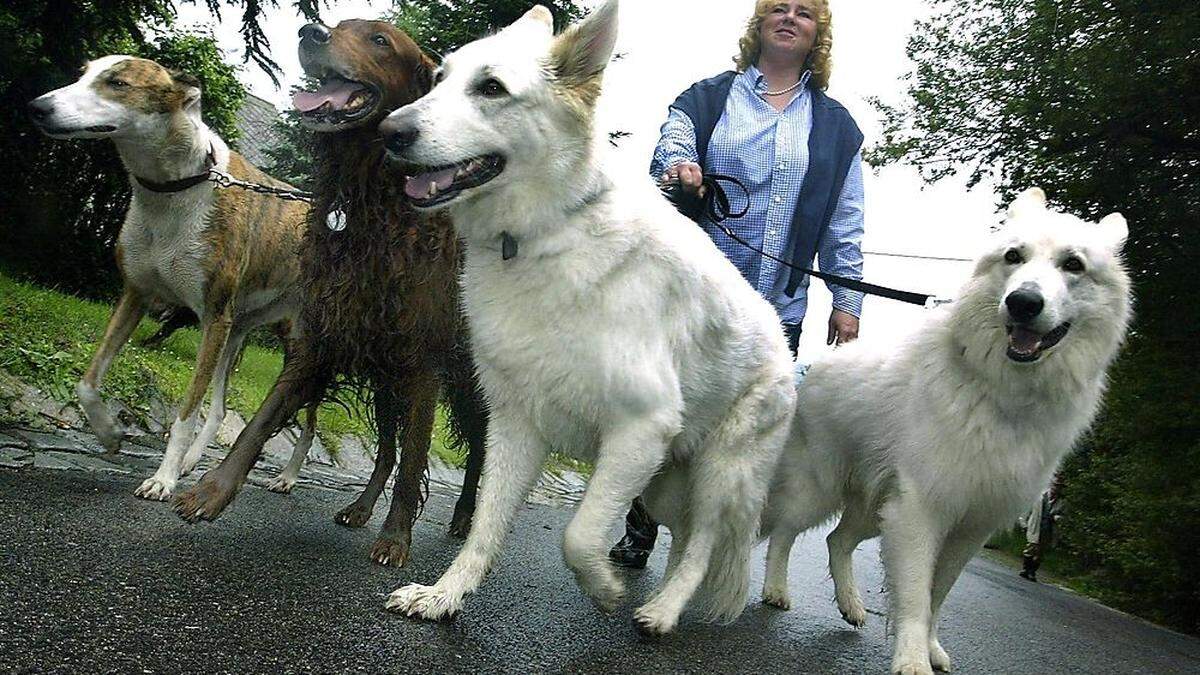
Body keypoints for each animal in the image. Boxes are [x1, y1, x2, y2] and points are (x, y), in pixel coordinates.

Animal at [170, 21, 487, 564]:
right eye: (341, 26)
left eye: (380, 40)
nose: (310, 30)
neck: (374, 202)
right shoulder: (324, 337)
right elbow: (260, 422)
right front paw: (211, 492)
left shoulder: (423, 361)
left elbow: (416, 457)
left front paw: (396, 538)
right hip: (385, 380)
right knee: (386, 451)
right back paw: (360, 508)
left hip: (467, 380)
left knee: (478, 451)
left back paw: (465, 516)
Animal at [374, 0, 796, 634]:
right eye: (439, 80)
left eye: (491, 89)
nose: (389, 133)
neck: (544, 232)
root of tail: (787, 347)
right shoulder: (515, 424)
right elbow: (484, 527)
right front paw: (446, 596)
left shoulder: (639, 430)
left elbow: (578, 534)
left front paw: (602, 588)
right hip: (666, 485)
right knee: (682, 538)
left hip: (718, 473)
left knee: (702, 545)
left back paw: (663, 611)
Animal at [758, 186, 1132, 667]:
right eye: (1014, 256)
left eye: (1074, 265)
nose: (1023, 302)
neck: (1001, 391)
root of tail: (811, 365)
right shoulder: (921, 512)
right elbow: (916, 596)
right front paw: (913, 661)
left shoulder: (968, 527)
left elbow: (937, 594)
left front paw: (931, 649)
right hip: (820, 490)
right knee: (784, 531)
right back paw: (775, 589)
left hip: (876, 513)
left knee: (837, 541)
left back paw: (851, 605)